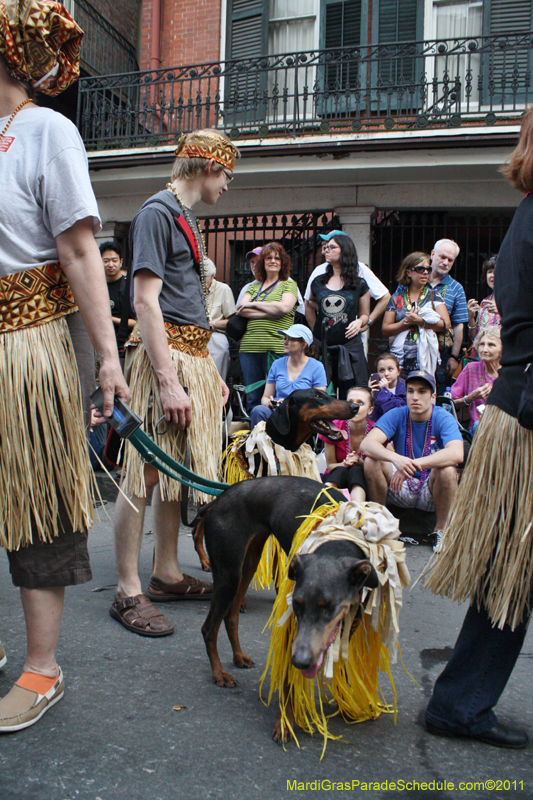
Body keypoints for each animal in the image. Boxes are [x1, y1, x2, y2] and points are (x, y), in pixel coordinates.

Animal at [197, 472, 376, 740]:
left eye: (329, 607)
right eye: (298, 605)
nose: (302, 660)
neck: (337, 538)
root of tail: (216, 501)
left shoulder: (350, 622)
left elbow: (341, 664)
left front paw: (346, 701)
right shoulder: (293, 627)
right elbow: (289, 682)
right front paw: (285, 723)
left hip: (247, 565)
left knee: (231, 616)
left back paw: (238, 656)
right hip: (228, 574)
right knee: (209, 628)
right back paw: (219, 674)